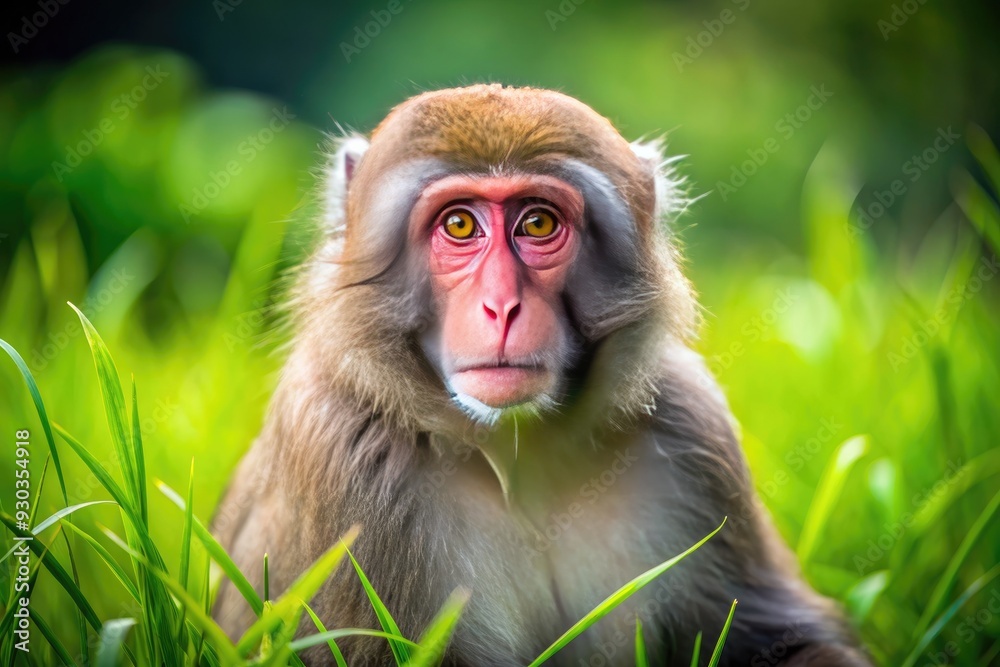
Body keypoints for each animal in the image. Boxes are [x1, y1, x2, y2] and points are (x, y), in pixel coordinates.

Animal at [212, 84, 871, 666]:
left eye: (536, 224)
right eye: (459, 225)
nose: (502, 305)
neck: (517, 452)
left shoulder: (696, 435)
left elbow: (779, 640)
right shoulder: (344, 463)